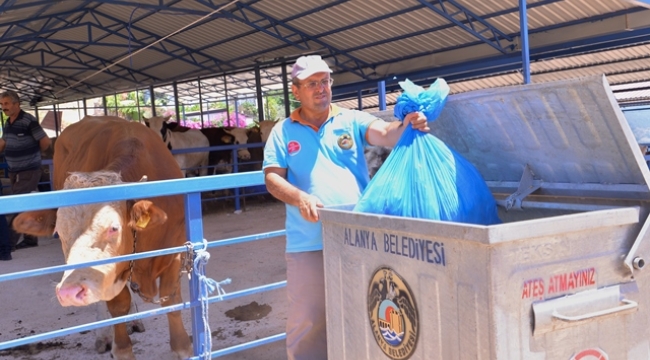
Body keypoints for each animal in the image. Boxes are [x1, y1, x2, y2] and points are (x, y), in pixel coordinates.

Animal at [12, 116, 191, 358]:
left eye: (114, 228)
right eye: (59, 231)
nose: (69, 293)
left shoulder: (175, 251)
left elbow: (171, 299)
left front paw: (182, 346)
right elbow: (117, 307)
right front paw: (120, 346)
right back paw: (105, 335)